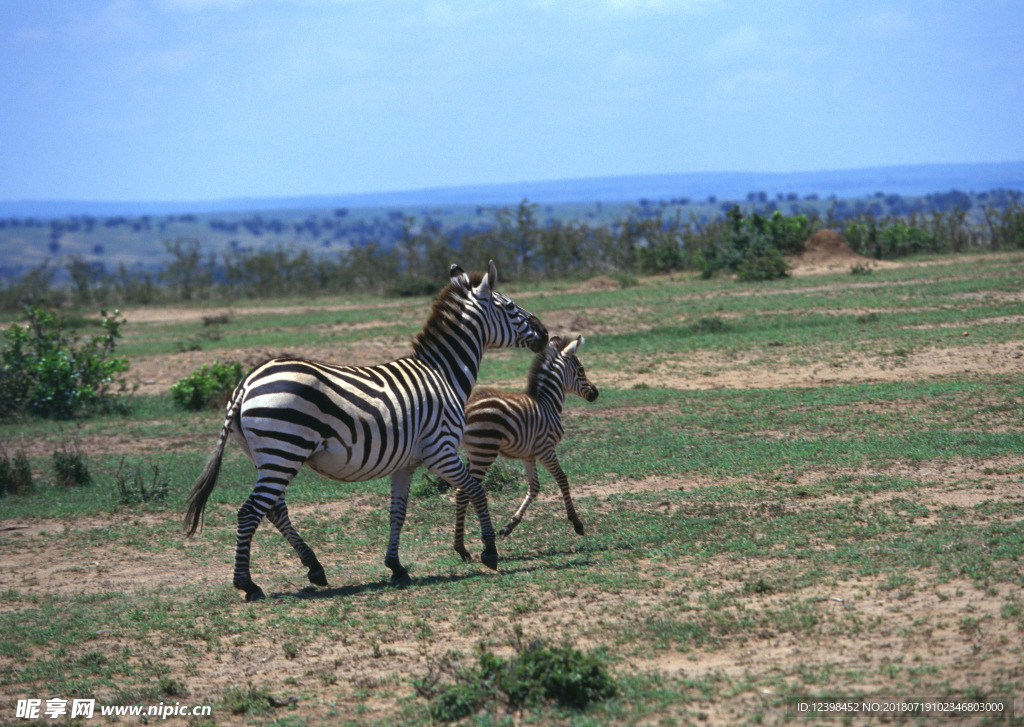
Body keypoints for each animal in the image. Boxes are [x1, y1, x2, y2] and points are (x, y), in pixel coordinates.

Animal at [184, 262, 552, 602]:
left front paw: (396, 567)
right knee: (251, 512)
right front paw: (489, 551)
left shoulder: (407, 462)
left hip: (267, 455)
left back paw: (314, 568)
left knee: (274, 509)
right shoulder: (441, 450)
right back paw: (248, 584)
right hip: (285, 450)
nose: (546, 333)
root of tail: (246, 384)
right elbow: (476, 490)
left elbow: (397, 513)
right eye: (510, 307)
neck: (443, 374)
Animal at [456, 335, 598, 565]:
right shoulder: (546, 449)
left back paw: (462, 548)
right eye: (581, 369)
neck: (548, 403)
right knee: (464, 492)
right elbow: (562, 479)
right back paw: (464, 548)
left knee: (464, 491)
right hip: (484, 452)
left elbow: (534, 488)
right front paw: (576, 523)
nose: (596, 393)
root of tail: (466, 407)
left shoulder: (528, 455)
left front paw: (509, 526)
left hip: (474, 452)